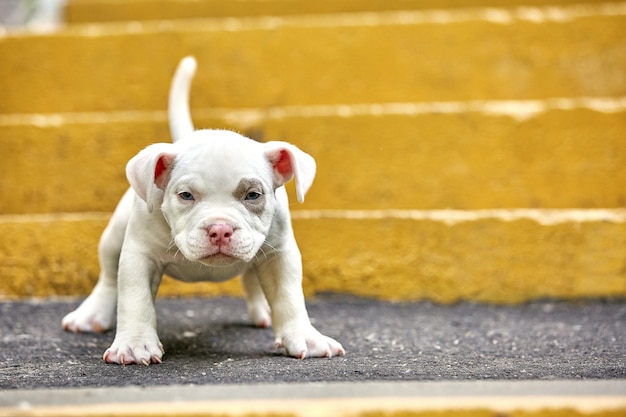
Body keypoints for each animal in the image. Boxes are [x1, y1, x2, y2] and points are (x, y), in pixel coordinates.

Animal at [62, 56, 344, 364]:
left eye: (253, 195)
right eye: (186, 195)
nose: (220, 229)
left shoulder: (279, 254)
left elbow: (289, 297)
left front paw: (305, 337)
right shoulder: (139, 254)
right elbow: (135, 299)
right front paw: (135, 345)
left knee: (251, 276)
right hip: (114, 236)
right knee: (109, 276)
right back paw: (91, 315)